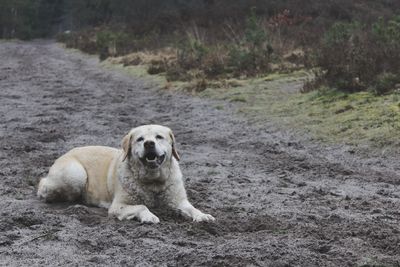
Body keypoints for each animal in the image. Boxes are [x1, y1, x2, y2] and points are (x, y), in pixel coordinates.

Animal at [37, 125, 216, 224]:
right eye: (140, 139)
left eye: (159, 137)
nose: (149, 143)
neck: (153, 181)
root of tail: (66, 153)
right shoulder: (118, 206)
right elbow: (142, 206)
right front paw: (149, 216)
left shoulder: (178, 200)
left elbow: (191, 208)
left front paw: (202, 215)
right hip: (76, 174)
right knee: (45, 187)